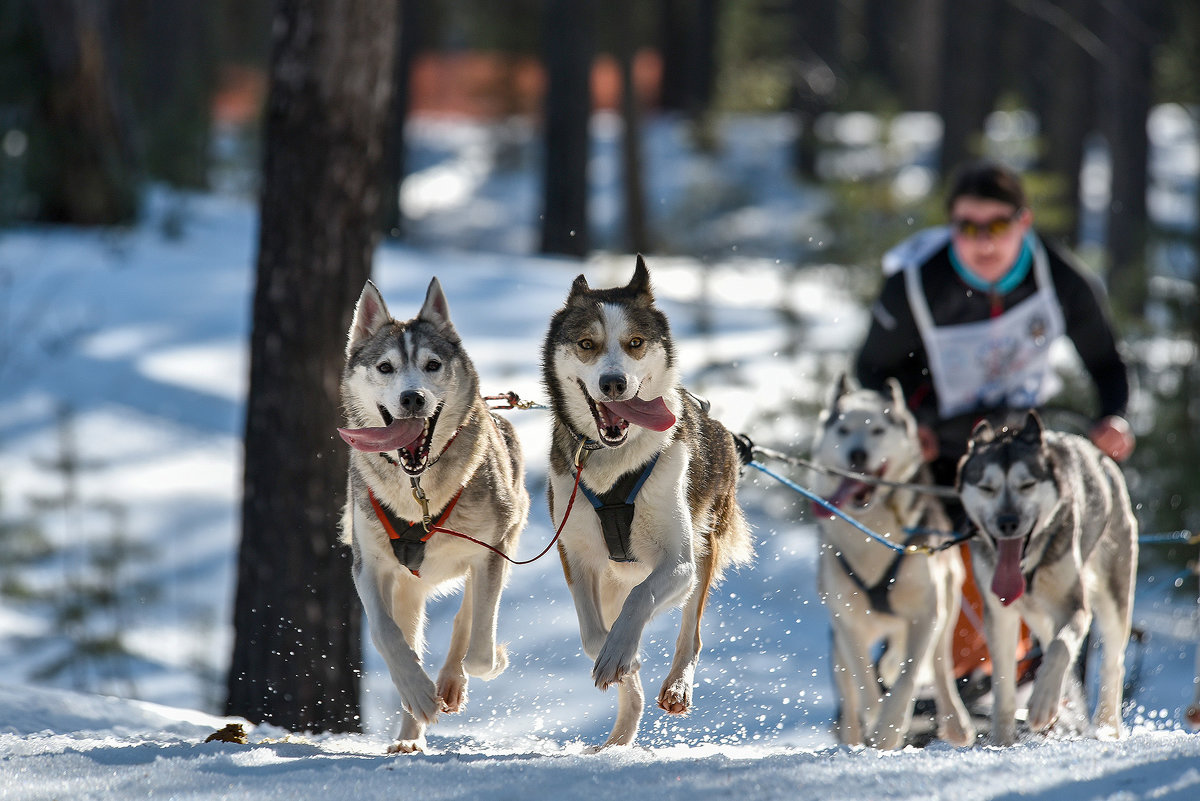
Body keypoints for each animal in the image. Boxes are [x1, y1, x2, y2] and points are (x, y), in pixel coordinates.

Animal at [336, 278, 528, 753]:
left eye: (432, 364)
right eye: (385, 367)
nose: (413, 397)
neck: (418, 493)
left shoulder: (491, 551)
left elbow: (478, 646)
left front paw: (479, 665)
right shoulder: (369, 565)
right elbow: (385, 635)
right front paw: (418, 692)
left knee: (470, 616)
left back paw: (449, 683)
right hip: (406, 587)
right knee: (407, 636)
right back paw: (410, 731)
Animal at [542, 257, 748, 753]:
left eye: (634, 343)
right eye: (587, 344)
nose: (613, 382)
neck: (613, 464)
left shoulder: (678, 563)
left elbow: (643, 598)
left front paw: (621, 654)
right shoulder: (576, 559)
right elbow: (592, 635)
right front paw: (620, 661)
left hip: (705, 549)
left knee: (690, 633)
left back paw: (677, 685)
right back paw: (619, 734)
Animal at [816, 376, 974, 753]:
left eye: (878, 430)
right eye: (843, 429)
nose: (857, 454)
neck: (871, 530)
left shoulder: (925, 613)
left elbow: (907, 678)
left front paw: (888, 730)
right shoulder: (848, 622)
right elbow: (866, 684)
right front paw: (876, 727)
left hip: (947, 609)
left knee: (940, 664)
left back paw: (955, 723)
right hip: (840, 645)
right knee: (850, 690)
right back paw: (851, 739)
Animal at [955, 412, 1132, 743]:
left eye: (1027, 485)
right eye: (986, 488)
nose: (1007, 522)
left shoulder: (1075, 607)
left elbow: (1062, 647)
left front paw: (1040, 705)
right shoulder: (999, 614)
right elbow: (1003, 684)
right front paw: (1001, 740)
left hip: (1113, 599)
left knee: (1111, 663)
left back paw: (1106, 725)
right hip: (1038, 614)